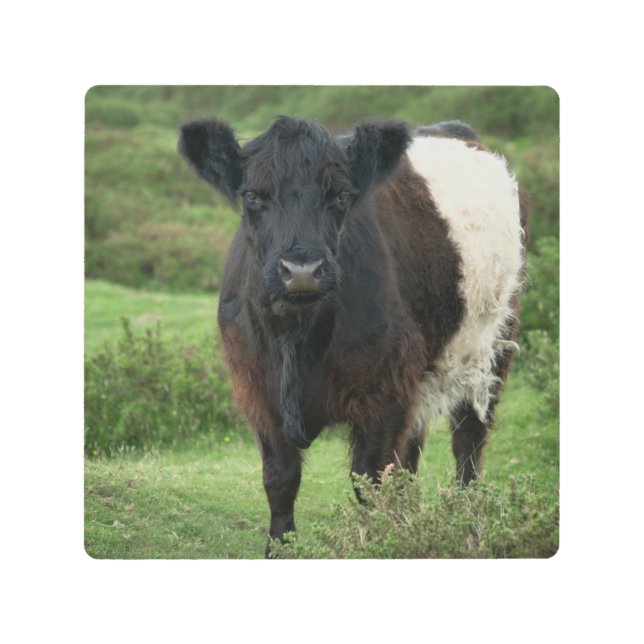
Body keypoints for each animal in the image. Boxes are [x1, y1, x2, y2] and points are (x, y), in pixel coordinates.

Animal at [178, 115, 527, 556]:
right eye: (252, 196)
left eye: (342, 195)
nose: (302, 270)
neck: (298, 335)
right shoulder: (256, 388)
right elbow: (280, 478)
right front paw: (279, 548)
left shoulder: (384, 389)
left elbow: (371, 480)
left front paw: (379, 544)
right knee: (413, 452)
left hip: (491, 347)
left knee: (468, 440)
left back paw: (467, 525)